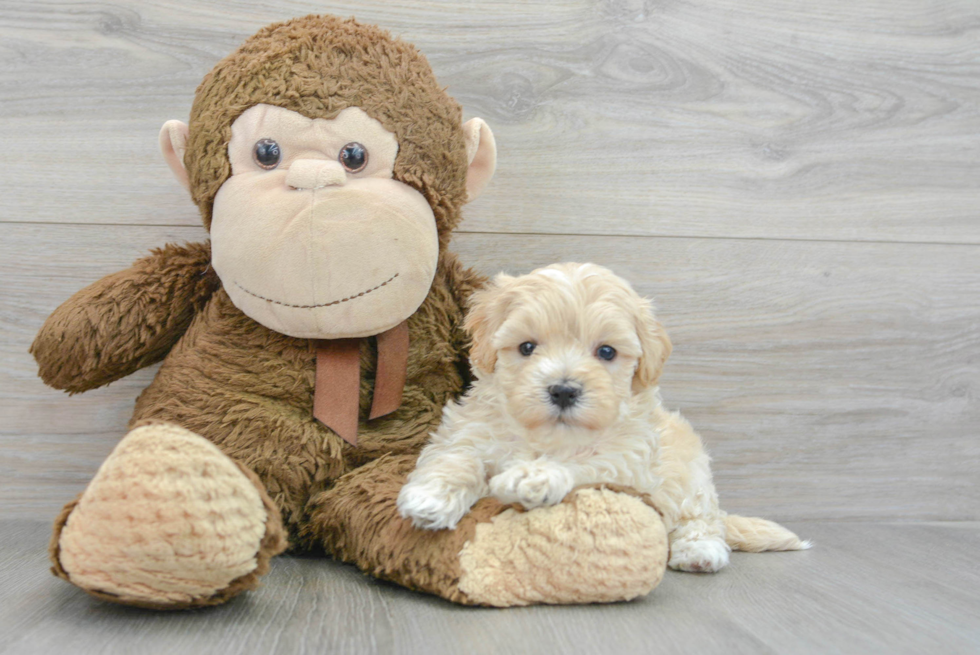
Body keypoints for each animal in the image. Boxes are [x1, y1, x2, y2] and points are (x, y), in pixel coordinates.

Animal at [394, 264, 808, 572]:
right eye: (526, 347)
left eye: (606, 352)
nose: (563, 390)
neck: (546, 437)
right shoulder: (466, 431)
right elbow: (457, 458)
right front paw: (431, 497)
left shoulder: (627, 461)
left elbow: (583, 466)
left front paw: (535, 477)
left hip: (692, 475)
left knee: (702, 518)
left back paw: (699, 551)